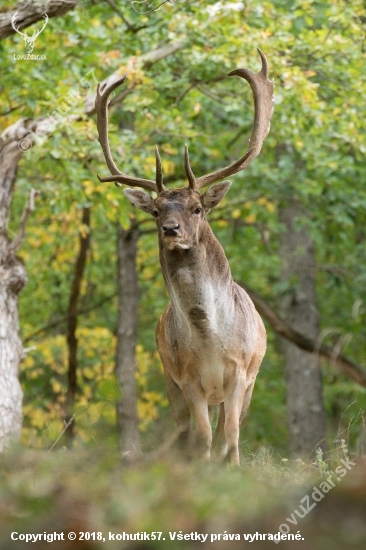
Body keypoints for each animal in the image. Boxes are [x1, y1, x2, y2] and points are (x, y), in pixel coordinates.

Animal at [96, 50, 274, 466]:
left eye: (197, 208)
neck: (210, 341)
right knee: (184, 432)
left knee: (228, 425)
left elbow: (231, 433)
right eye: (155, 210)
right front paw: (204, 468)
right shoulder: (186, 379)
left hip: (248, 381)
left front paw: (233, 468)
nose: (170, 229)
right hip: (169, 380)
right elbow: (203, 435)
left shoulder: (241, 374)